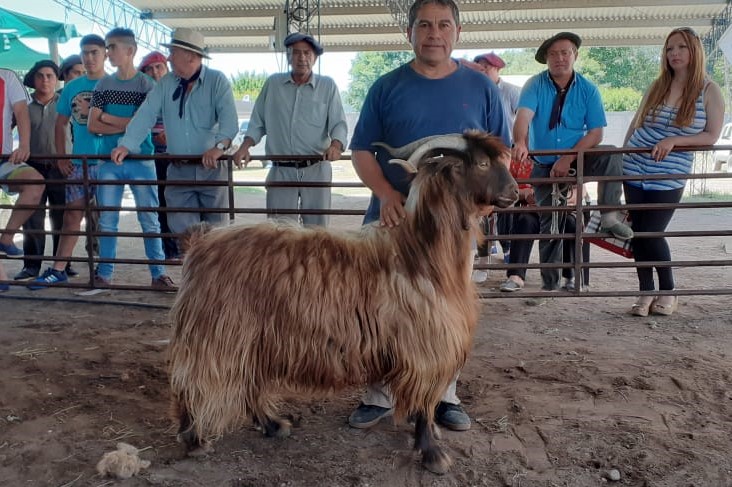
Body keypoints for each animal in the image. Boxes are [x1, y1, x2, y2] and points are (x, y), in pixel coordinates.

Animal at [168, 130, 516, 472]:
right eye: (482, 164)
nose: (514, 192)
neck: (420, 253)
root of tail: (201, 242)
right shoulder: (425, 348)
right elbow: (424, 404)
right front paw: (433, 454)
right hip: (219, 334)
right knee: (193, 383)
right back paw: (195, 440)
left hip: (252, 337)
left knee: (248, 383)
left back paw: (272, 425)